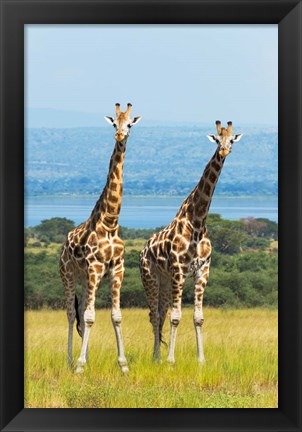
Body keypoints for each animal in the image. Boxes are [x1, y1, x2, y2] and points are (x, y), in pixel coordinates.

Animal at [60, 103, 143, 372]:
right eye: (114, 123)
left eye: (129, 124)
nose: (119, 135)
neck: (110, 222)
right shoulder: (95, 267)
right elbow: (88, 316)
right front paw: (79, 366)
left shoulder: (117, 269)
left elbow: (115, 316)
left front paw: (123, 365)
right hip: (68, 274)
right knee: (70, 314)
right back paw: (70, 361)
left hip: (86, 279)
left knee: (83, 311)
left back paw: (80, 357)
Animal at [140, 120, 243, 362]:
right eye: (217, 139)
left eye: (232, 140)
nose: (224, 150)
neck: (197, 222)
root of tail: (142, 250)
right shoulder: (179, 270)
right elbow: (176, 317)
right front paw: (171, 360)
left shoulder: (202, 270)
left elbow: (198, 317)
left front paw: (201, 360)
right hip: (150, 277)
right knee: (155, 315)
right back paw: (157, 358)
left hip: (166, 282)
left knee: (160, 313)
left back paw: (157, 357)